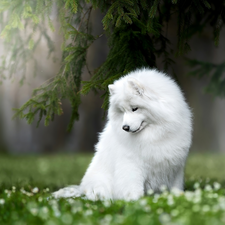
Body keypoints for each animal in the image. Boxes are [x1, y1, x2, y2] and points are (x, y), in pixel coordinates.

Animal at [52, 68, 192, 200]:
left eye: (134, 108)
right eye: (122, 111)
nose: (125, 127)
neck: (155, 134)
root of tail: (81, 189)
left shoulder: (175, 167)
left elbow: (176, 187)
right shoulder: (132, 165)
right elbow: (133, 189)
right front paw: (136, 201)